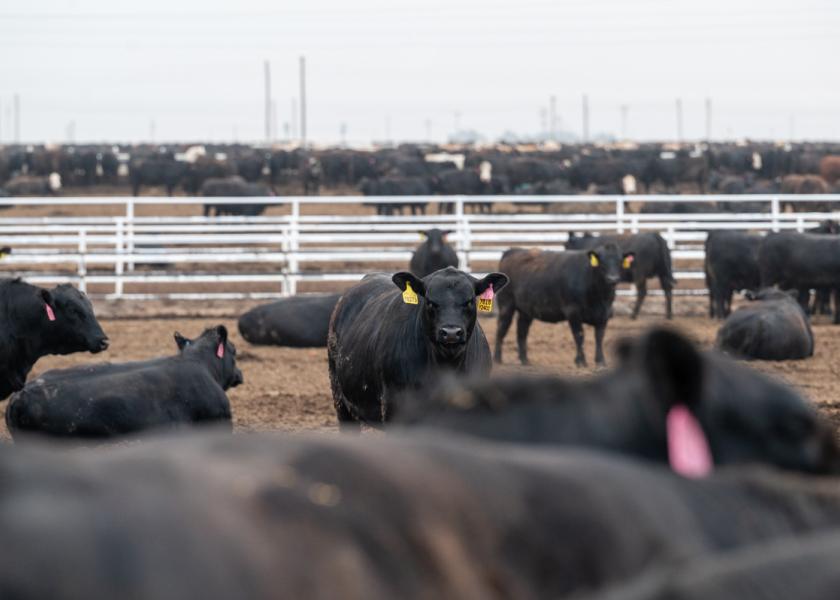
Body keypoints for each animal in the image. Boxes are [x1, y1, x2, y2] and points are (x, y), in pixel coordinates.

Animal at [496, 243, 632, 366]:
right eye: (602, 262)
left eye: (620, 261)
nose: (612, 279)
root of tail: (513, 250)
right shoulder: (573, 312)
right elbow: (579, 335)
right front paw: (580, 361)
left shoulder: (604, 314)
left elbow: (599, 337)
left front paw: (601, 361)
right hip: (506, 305)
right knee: (501, 328)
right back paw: (498, 359)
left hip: (526, 310)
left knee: (522, 332)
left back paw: (525, 360)